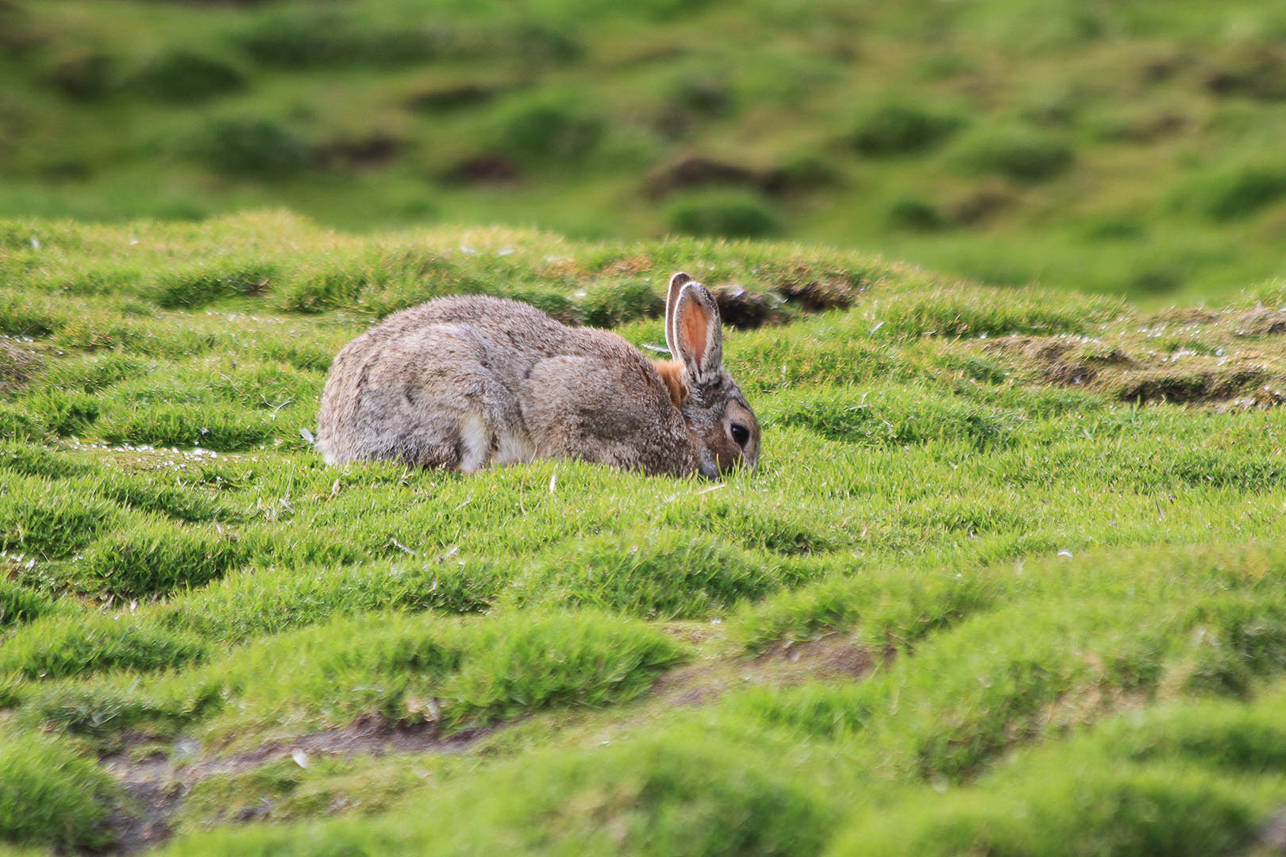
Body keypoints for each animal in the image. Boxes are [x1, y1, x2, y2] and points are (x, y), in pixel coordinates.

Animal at [317, 270, 756, 476]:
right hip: (460, 397)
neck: (677, 414)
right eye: (740, 433)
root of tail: (337, 440)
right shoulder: (567, 399)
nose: (746, 475)